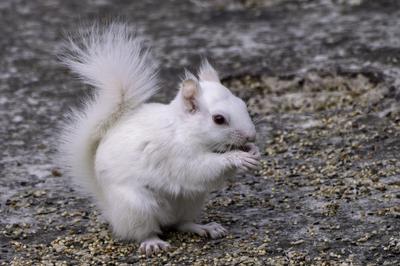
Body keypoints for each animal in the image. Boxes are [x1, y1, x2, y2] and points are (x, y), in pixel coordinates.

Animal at [58, 23, 260, 256]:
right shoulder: (176, 156)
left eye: (243, 104)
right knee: (145, 230)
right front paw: (237, 157)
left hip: (191, 201)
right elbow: (200, 169)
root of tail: (108, 205)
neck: (183, 130)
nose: (251, 135)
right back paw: (152, 242)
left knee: (181, 223)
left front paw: (252, 150)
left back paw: (204, 227)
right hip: (137, 207)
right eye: (218, 119)